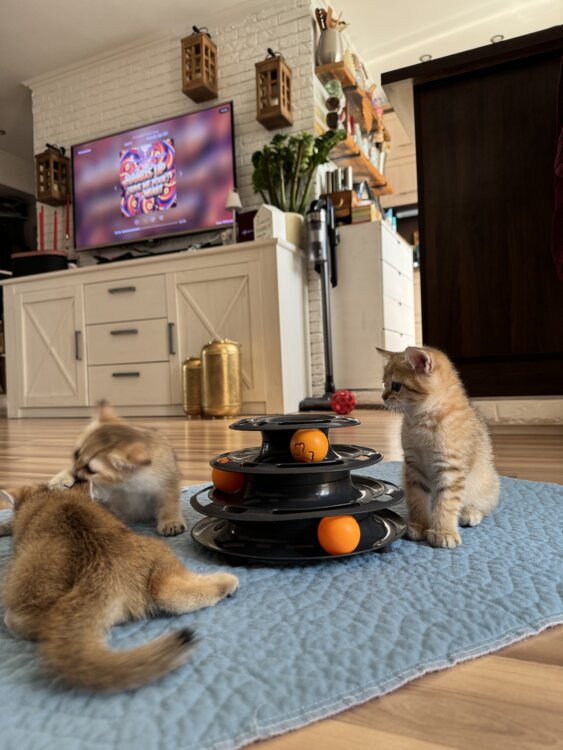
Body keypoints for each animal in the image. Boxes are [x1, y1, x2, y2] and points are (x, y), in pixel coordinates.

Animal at [0, 483, 238, 691]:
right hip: (160, 559)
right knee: (171, 594)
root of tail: (103, 570)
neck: (51, 495)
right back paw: (226, 583)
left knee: (22, 622)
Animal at [49, 402, 186, 536]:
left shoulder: (167, 481)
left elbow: (170, 501)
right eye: (76, 454)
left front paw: (170, 521)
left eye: (90, 470)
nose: (77, 472)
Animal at [377, 346, 500, 548]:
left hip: (484, 480)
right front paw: (419, 524)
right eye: (384, 384)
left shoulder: (451, 468)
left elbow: (447, 502)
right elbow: (417, 498)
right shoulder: (413, 468)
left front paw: (443, 531)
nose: (383, 397)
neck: (422, 422)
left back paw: (470, 513)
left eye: (395, 386)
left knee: (484, 505)